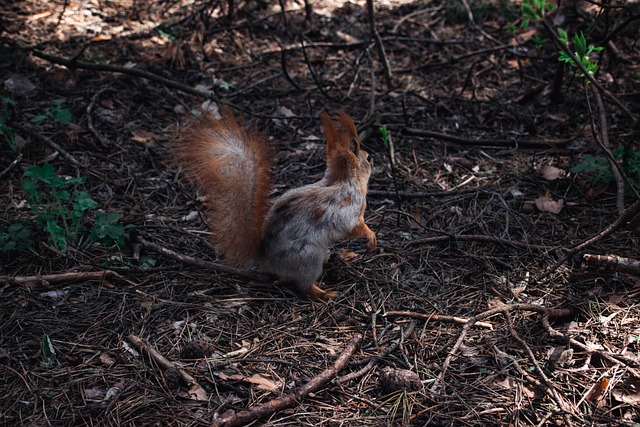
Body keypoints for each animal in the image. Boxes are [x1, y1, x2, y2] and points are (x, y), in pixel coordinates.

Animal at [175, 107, 376, 300]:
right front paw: (371, 236)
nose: (372, 159)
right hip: (309, 258)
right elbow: (353, 227)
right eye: (367, 158)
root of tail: (267, 259)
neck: (343, 181)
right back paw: (322, 294)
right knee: (302, 286)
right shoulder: (348, 209)